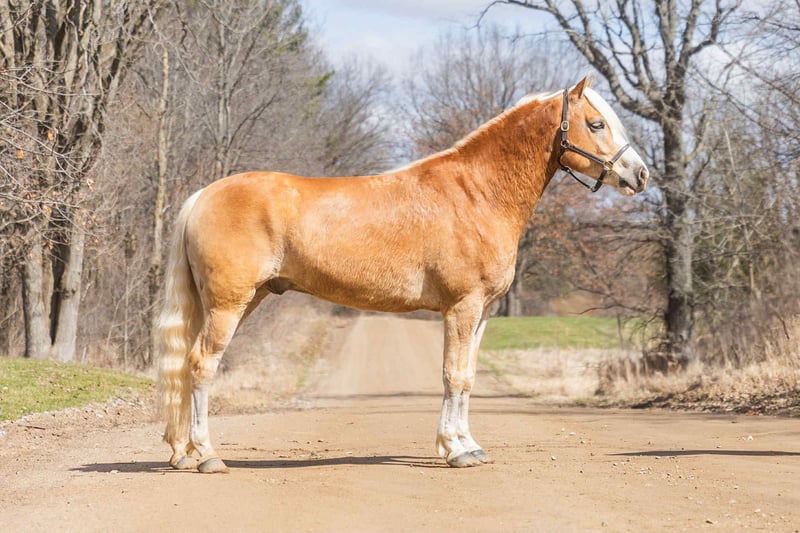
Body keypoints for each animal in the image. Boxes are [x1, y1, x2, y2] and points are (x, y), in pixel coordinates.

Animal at [158, 74, 649, 473]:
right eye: (597, 124)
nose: (640, 175)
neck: (477, 193)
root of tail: (203, 196)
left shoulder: (483, 312)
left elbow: (468, 376)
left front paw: (467, 445)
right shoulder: (461, 306)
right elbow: (452, 375)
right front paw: (456, 451)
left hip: (233, 301)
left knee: (185, 365)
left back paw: (182, 454)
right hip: (229, 304)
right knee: (201, 365)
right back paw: (208, 456)